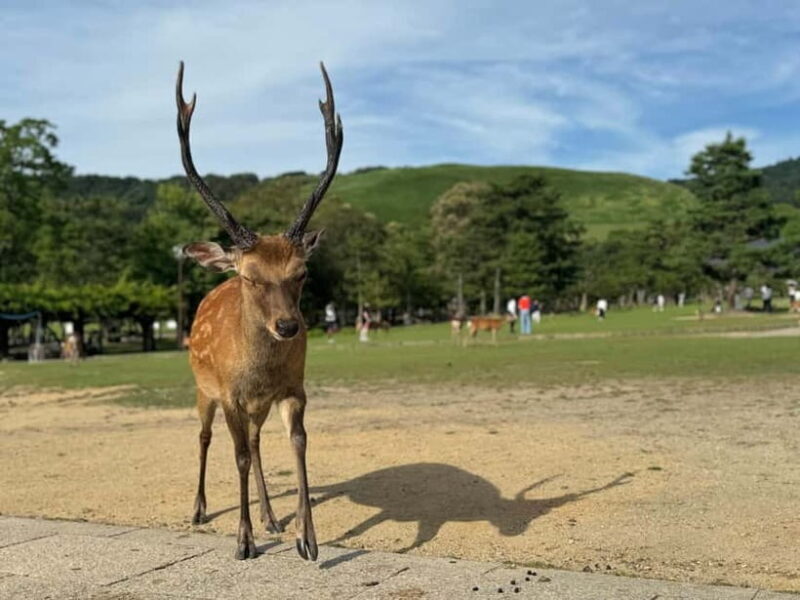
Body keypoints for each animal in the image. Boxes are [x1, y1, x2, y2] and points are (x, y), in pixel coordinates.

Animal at [175, 60, 343, 562]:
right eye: (250, 276)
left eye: (302, 272)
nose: (288, 326)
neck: (261, 369)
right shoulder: (231, 393)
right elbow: (239, 457)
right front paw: (243, 541)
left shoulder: (292, 388)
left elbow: (298, 443)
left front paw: (307, 538)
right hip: (203, 388)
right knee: (207, 438)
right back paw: (199, 509)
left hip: (257, 405)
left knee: (255, 438)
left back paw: (271, 516)